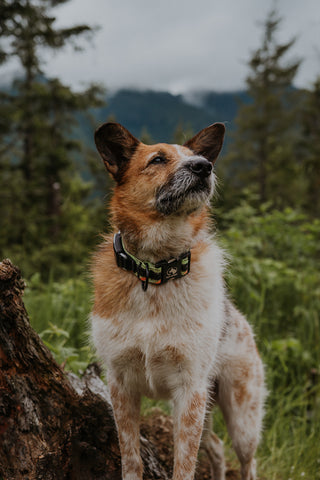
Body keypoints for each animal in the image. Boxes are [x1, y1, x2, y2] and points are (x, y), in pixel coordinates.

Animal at [90, 123, 264, 480]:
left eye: (197, 157)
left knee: (247, 461)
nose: (204, 166)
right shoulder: (120, 386)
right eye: (157, 159)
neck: (155, 272)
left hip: (242, 419)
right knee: (216, 448)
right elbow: (131, 458)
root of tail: (239, 317)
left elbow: (184, 465)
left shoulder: (190, 391)